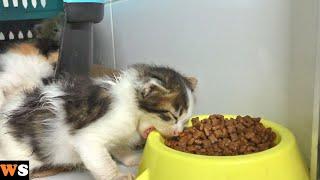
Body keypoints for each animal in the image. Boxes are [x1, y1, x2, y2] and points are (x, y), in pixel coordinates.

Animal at [0, 64, 198, 180]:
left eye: (185, 120)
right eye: (172, 116)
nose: (178, 132)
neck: (131, 107)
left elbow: (118, 146)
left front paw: (131, 158)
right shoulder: (90, 137)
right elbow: (104, 162)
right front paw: (117, 176)